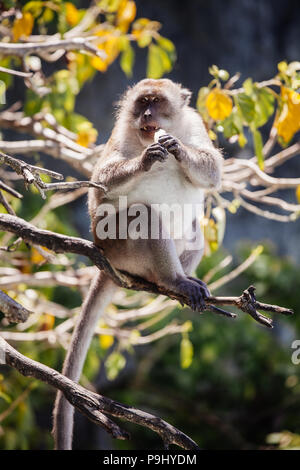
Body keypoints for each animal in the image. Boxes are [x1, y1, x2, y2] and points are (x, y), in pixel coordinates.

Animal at [53, 79, 223, 450]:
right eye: (142, 102)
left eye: (156, 101)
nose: (146, 115)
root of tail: (103, 252)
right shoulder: (121, 132)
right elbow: (100, 187)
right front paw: (147, 159)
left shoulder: (194, 123)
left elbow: (212, 170)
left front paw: (177, 148)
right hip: (119, 246)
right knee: (143, 214)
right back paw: (172, 279)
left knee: (195, 226)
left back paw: (180, 280)